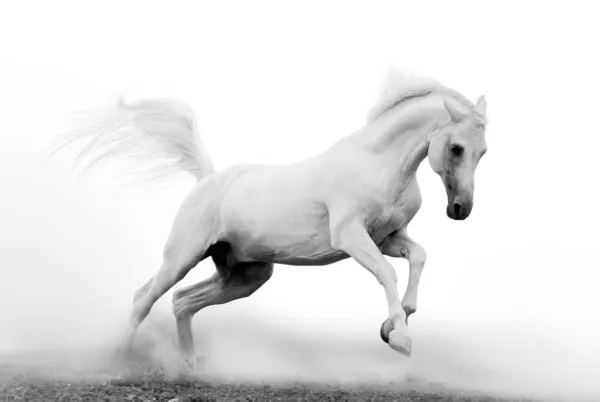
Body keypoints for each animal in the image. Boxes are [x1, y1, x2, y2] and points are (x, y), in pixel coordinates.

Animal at [52, 70, 488, 362]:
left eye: (483, 151)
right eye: (457, 148)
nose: (460, 210)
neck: (380, 165)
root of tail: (208, 180)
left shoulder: (388, 238)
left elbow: (418, 257)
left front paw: (395, 325)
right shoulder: (351, 237)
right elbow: (387, 273)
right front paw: (400, 339)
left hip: (246, 274)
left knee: (182, 302)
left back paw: (190, 368)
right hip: (182, 256)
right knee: (145, 298)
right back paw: (120, 359)